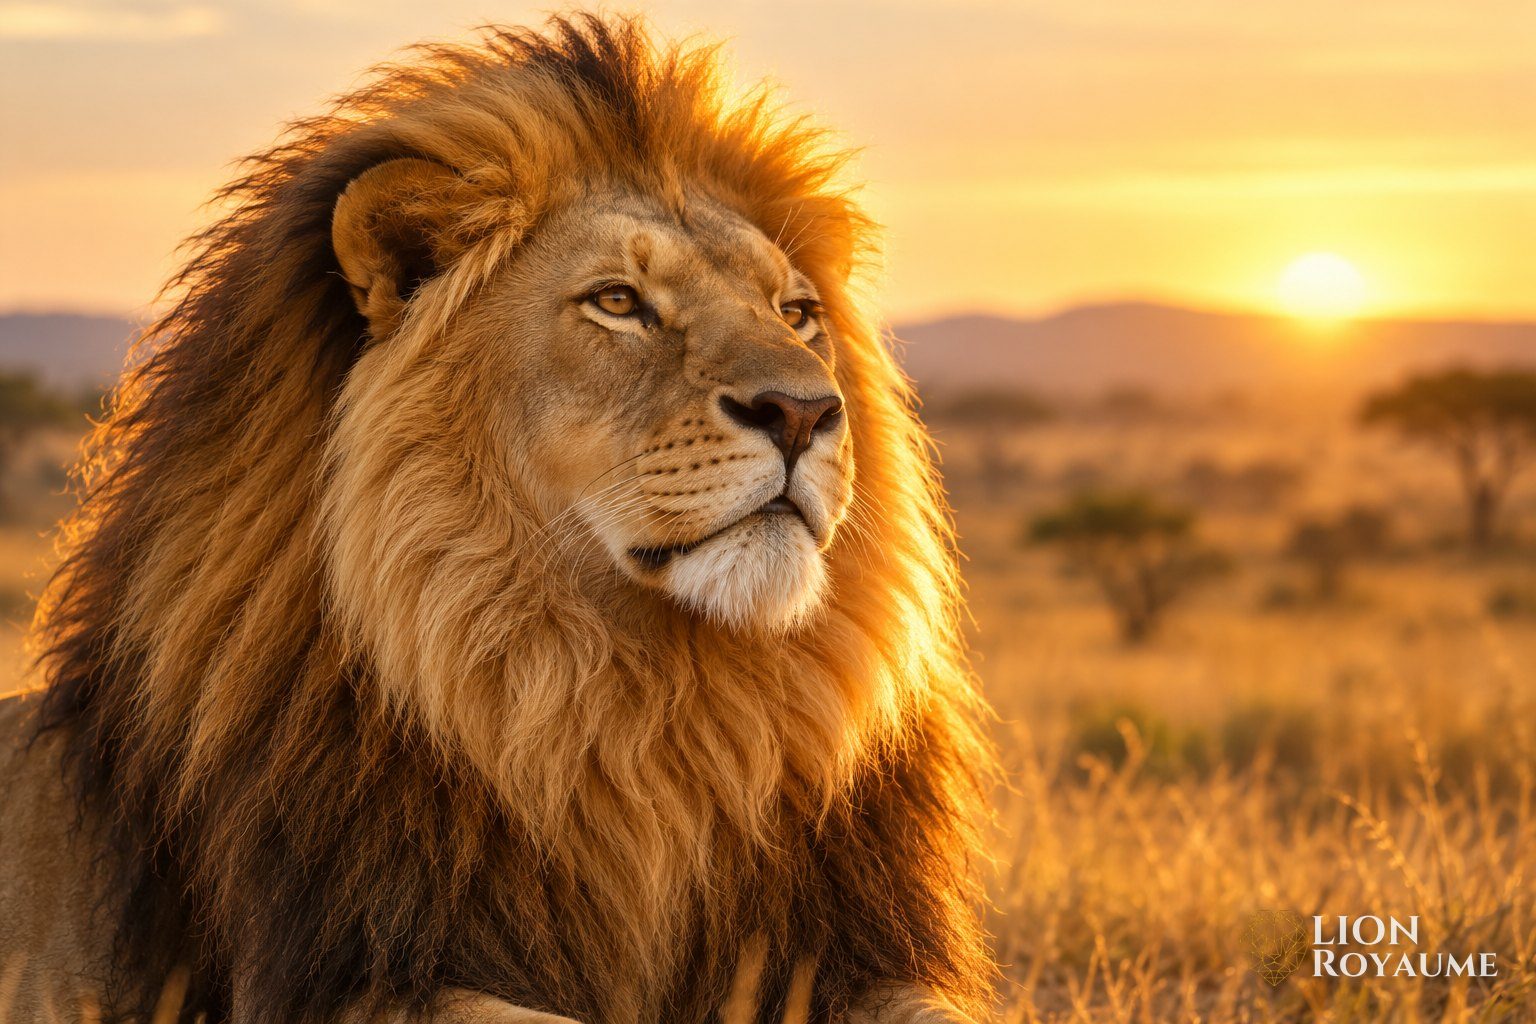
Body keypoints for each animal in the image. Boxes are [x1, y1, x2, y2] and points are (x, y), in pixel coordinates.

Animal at [0, 14, 996, 1024]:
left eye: (796, 313)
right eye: (618, 302)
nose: (804, 411)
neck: (648, 712)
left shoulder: (841, 953)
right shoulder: (351, 972)